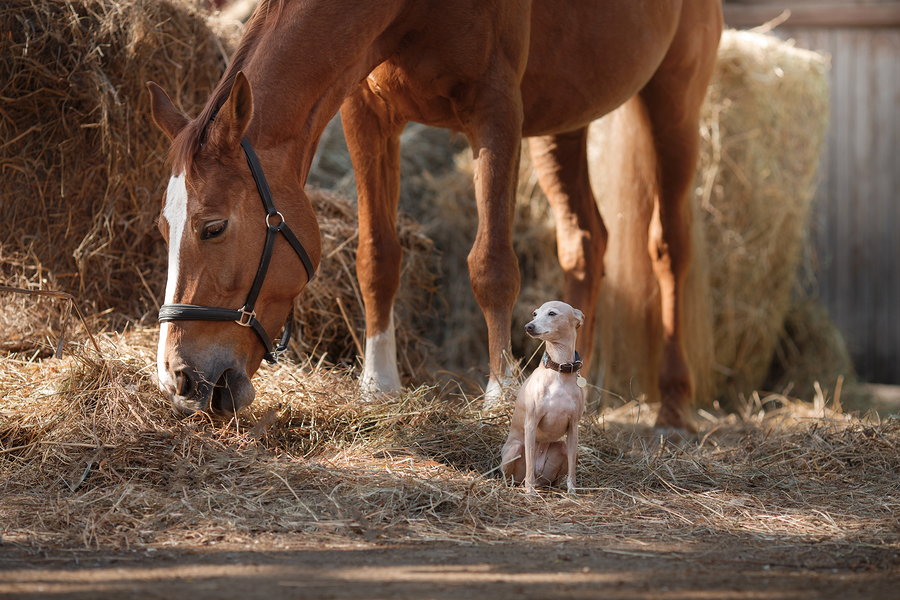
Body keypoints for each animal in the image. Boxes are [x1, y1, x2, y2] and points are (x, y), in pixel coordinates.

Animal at [149, 1, 724, 432]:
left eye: (214, 227)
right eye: (163, 229)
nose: (180, 379)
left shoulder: (496, 107)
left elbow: (492, 265)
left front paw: (499, 394)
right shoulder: (367, 111)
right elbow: (376, 257)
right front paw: (378, 386)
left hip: (674, 101)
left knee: (670, 247)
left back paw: (674, 411)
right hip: (564, 118)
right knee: (585, 241)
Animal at [500, 300, 584, 492]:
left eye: (552, 313)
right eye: (534, 313)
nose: (528, 326)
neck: (559, 370)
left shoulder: (574, 427)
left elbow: (572, 472)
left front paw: (572, 492)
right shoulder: (531, 424)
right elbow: (530, 465)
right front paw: (529, 494)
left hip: (563, 449)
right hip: (515, 449)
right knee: (519, 474)